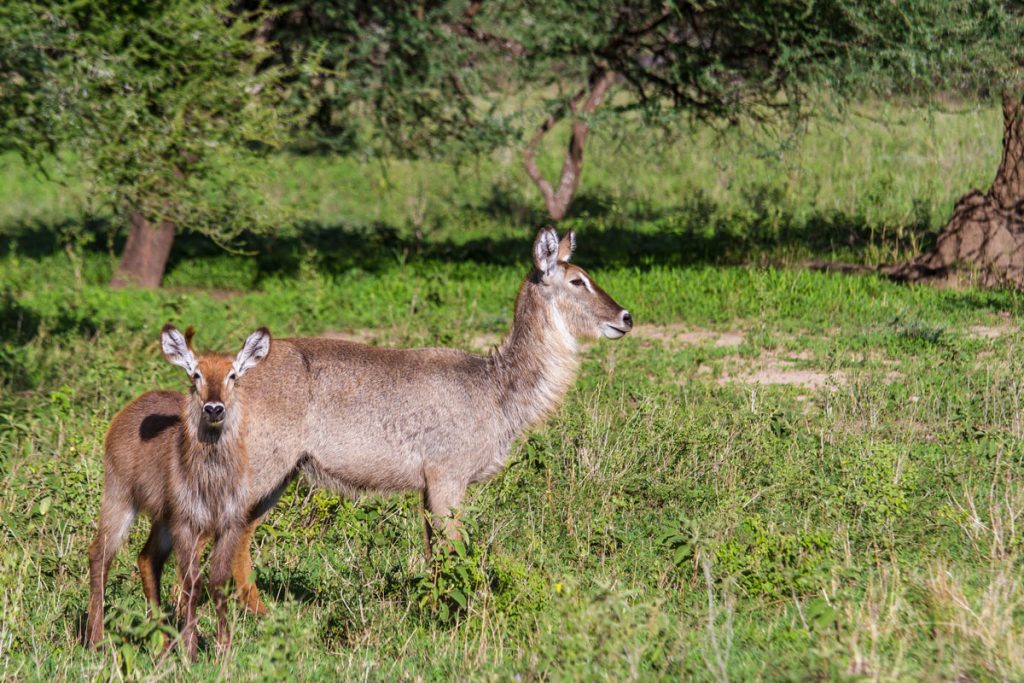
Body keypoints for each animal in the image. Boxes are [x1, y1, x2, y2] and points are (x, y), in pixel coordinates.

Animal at [87, 325, 270, 663]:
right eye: (196, 374)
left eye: (233, 375)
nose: (214, 408)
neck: (212, 484)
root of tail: (131, 405)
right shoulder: (187, 524)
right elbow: (192, 585)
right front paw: (191, 651)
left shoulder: (229, 524)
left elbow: (218, 583)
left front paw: (223, 649)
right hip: (120, 496)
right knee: (100, 555)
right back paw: (96, 640)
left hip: (162, 518)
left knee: (147, 559)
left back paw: (160, 643)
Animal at [230, 227, 630, 557]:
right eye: (577, 281)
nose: (625, 317)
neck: (496, 387)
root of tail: (232, 373)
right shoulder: (447, 477)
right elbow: (453, 552)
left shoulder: (426, 487)